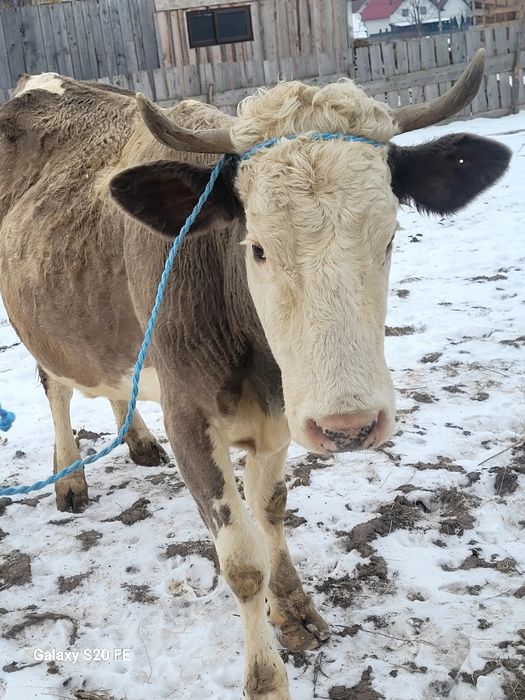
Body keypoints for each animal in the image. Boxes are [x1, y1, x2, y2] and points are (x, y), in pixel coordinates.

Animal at [0, 53, 510, 698]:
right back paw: (69, 478)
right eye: (258, 247)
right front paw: (266, 677)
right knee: (56, 387)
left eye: (391, 236)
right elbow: (242, 562)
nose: (350, 424)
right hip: (39, 327)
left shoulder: (279, 418)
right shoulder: (189, 419)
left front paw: (294, 608)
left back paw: (137, 442)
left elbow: (271, 508)